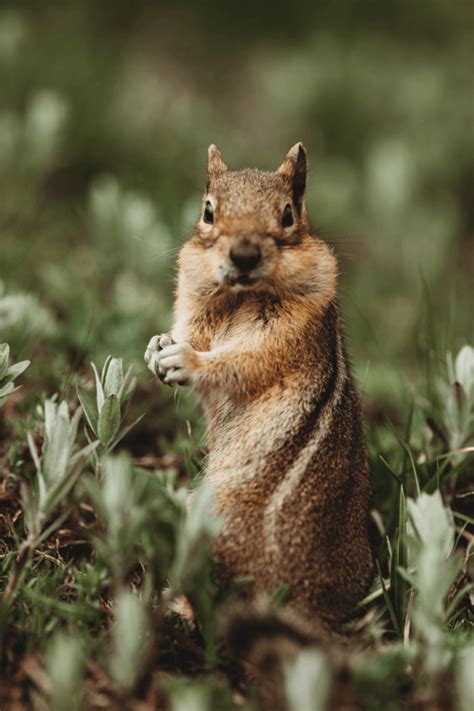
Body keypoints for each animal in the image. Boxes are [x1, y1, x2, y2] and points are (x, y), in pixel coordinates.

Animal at [144, 143, 374, 628]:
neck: (240, 296)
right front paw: (159, 347)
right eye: (208, 210)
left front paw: (186, 361)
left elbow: (241, 363)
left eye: (287, 214)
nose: (244, 255)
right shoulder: (195, 309)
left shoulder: (286, 335)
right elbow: (190, 333)